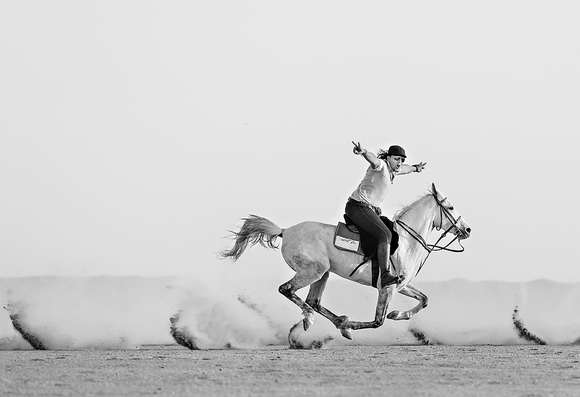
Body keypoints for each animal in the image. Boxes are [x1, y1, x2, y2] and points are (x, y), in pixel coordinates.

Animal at [220, 181, 468, 338]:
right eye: (451, 207)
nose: (467, 229)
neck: (407, 240)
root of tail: (285, 230)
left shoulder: (401, 285)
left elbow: (424, 300)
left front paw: (399, 314)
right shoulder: (387, 288)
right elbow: (378, 321)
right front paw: (356, 324)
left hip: (323, 273)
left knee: (314, 301)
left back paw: (338, 322)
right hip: (313, 271)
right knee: (288, 290)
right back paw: (313, 319)